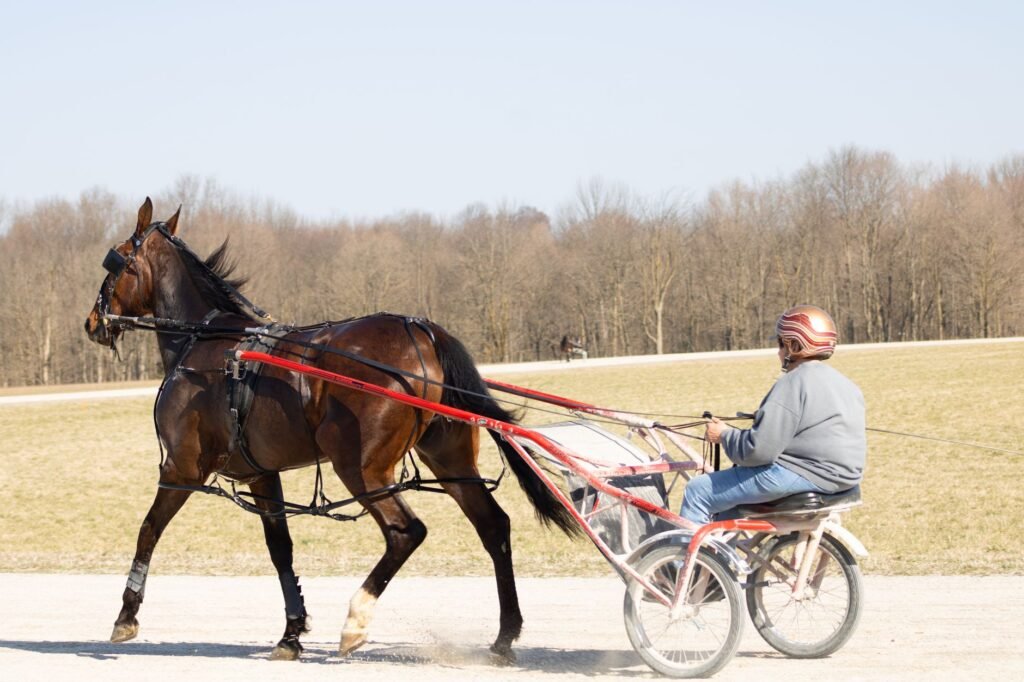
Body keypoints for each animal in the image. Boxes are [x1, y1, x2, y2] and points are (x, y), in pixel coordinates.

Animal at [84, 198, 577, 662]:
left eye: (116, 259)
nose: (92, 322)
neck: (204, 342)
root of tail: (423, 331)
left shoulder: (182, 467)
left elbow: (148, 529)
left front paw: (126, 615)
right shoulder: (262, 474)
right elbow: (280, 550)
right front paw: (291, 633)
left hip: (360, 467)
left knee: (406, 532)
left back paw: (356, 621)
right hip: (448, 458)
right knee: (493, 527)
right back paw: (504, 636)